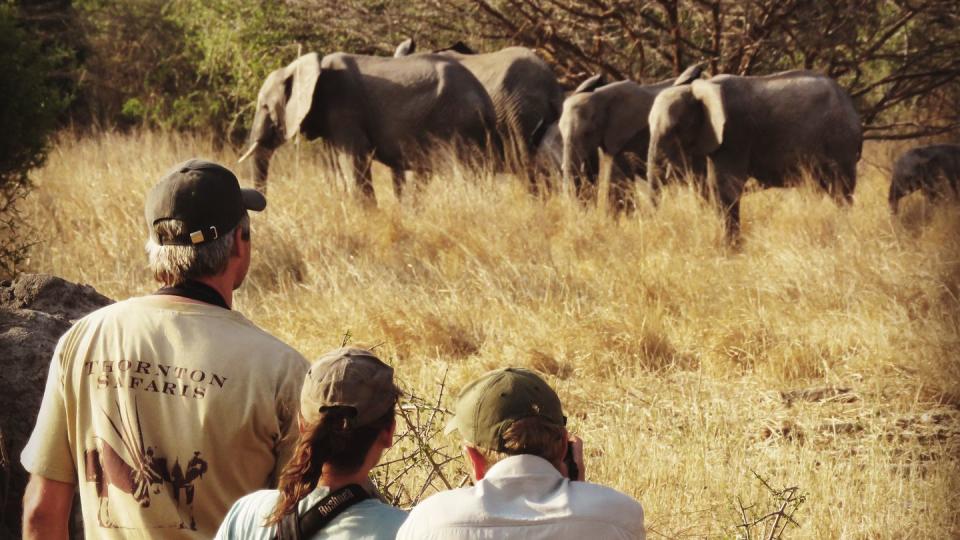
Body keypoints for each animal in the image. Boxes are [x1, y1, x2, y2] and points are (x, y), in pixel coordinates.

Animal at [238, 50, 496, 198]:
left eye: (265, 107)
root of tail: (484, 97)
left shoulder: (344, 107)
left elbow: (353, 162)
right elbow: (338, 167)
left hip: (459, 123)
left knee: (464, 172)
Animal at [644, 69, 864, 236]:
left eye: (675, 129)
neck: (699, 89)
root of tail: (849, 103)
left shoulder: (735, 134)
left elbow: (724, 187)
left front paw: (730, 251)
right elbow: (708, 185)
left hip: (841, 141)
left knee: (841, 191)